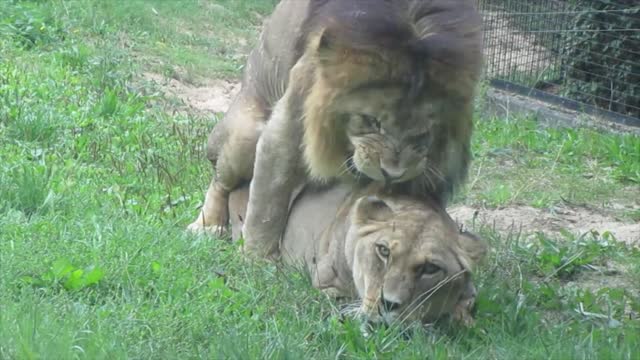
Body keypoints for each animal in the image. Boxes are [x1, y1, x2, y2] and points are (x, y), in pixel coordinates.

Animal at [188, 0, 482, 258]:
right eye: (372, 121)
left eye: (423, 133)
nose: (392, 174)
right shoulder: (289, 125)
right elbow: (267, 207)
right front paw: (258, 262)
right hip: (245, 135)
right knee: (220, 181)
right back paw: (208, 226)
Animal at [225, 184, 484, 324]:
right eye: (383, 250)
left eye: (431, 268)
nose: (388, 304)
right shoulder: (326, 284)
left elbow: (467, 303)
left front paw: (464, 320)